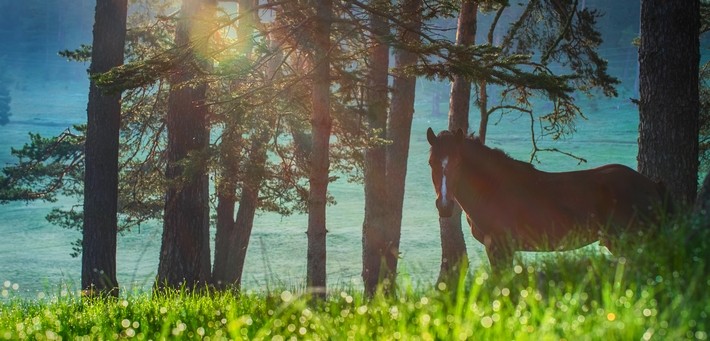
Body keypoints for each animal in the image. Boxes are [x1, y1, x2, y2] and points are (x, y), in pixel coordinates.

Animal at [428, 127, 672, 270]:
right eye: (431, 162)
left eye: (458, 163)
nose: (444, 206)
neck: (494, 189)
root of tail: (652, 184)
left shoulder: (500, 248)